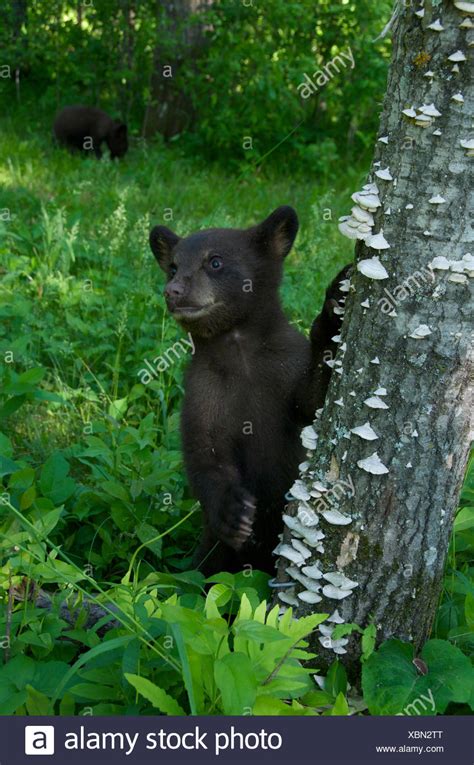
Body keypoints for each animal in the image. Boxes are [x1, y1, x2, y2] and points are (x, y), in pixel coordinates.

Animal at [149, 206, 348, 576]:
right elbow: (202, 450)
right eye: (173, 266)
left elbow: (312, 401)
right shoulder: (203, 387)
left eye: (214, 261)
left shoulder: (284, 367)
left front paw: (335, 306)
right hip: (213, 555)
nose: (173, 291)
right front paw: (232, 511)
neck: (238, 350)